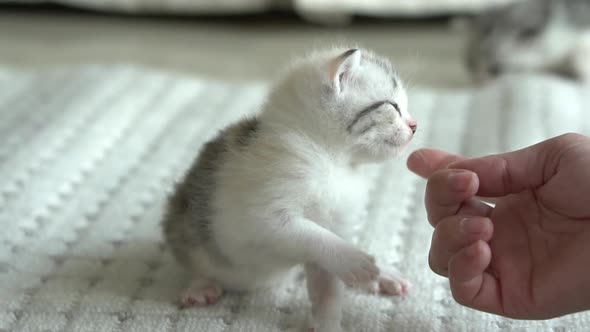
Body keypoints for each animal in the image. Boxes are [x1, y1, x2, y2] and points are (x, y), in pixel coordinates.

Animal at [162, 47, 416, 332]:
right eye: (393, 106)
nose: (414, 125)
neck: (333, 159)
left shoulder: (334, 224)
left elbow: (327, 285)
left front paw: (328, 322)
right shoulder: (264, 216)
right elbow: (313, 236)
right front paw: (353, 260)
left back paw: (384, 275)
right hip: (184, 224)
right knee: (196, 259)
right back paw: (201, 286)